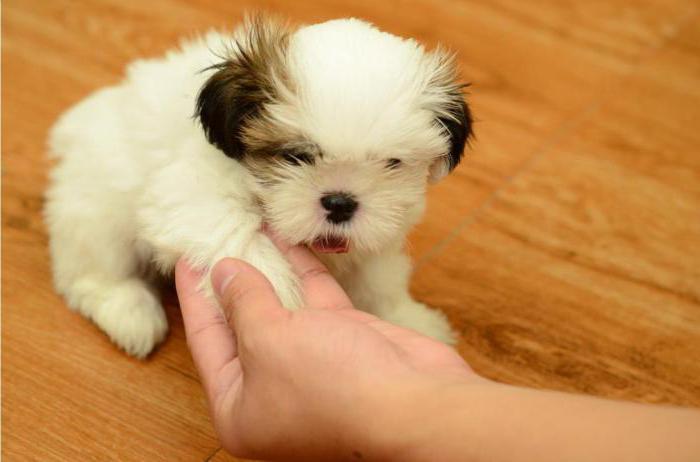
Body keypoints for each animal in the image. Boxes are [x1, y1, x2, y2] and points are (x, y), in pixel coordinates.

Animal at [43, 16, 474, 360]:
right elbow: (236, 231)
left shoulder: (380, 235)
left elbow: (377, 279)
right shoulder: (189, 191)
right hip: (100, 210)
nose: (340, 202)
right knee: (91, 272)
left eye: (391, 164)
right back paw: (129, 311)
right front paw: (278, 293)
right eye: (296, 156)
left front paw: (405, 319)